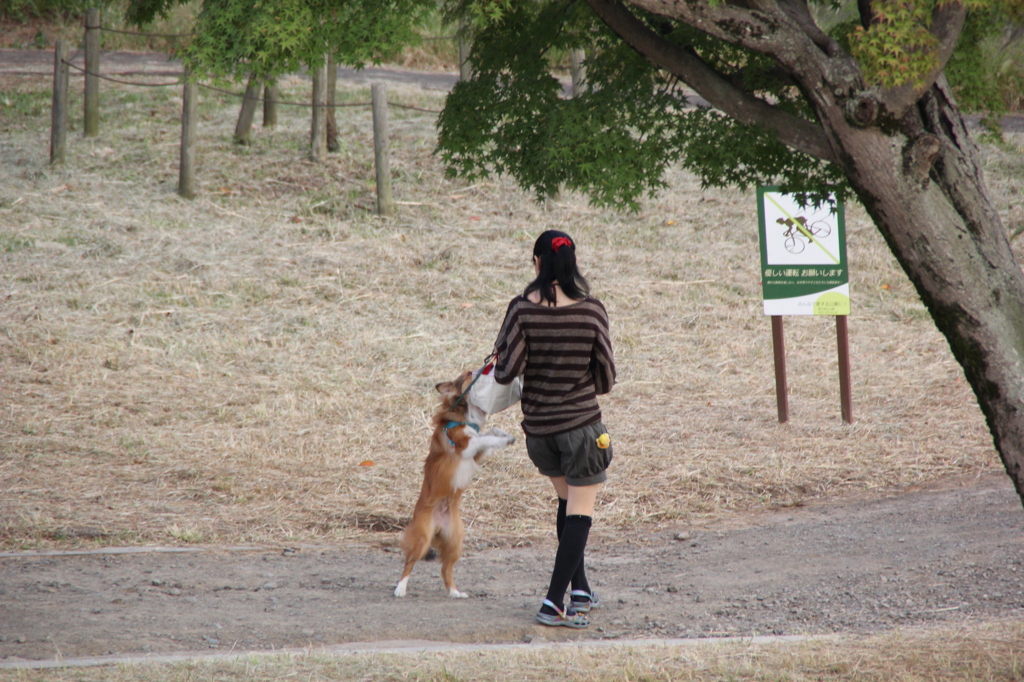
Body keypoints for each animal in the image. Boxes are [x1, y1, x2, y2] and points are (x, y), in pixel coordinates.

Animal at [395, 368, 516, 598]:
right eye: (469, 373)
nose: (482, 368)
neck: (464, 417)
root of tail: (438, 525)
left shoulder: (476, 454)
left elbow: (490, 433)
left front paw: (504, 434)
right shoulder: (466, 447)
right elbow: (484, 437)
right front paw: (504, 439)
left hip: (455, 542)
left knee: (445, 570)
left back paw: (455, 592)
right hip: (422, 538)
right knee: (409, 563)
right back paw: (400, 588)